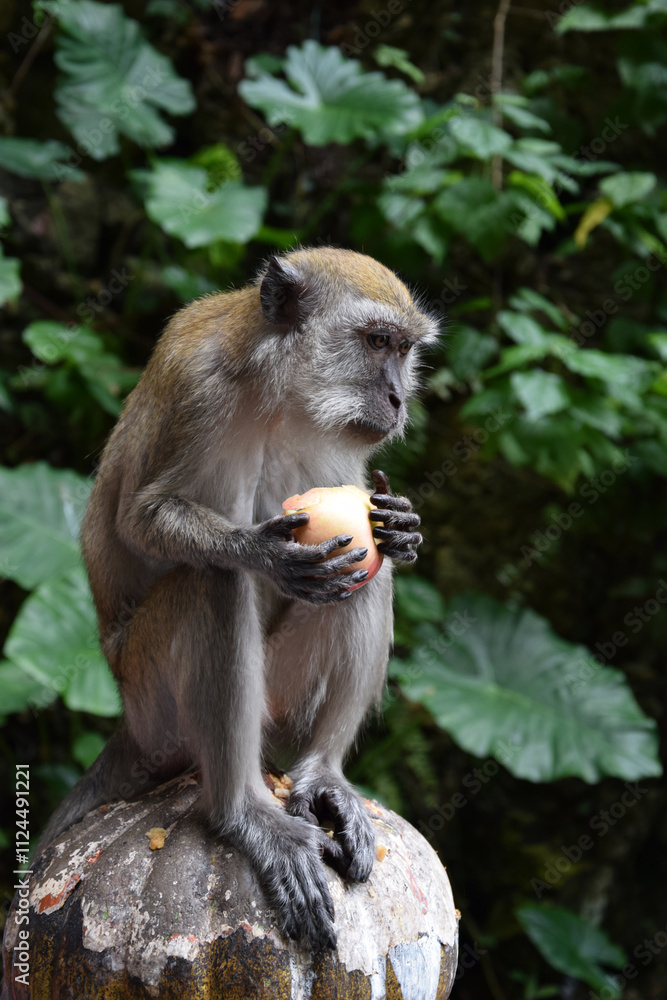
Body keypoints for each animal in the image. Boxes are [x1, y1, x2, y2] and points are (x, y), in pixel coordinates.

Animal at [36, 248, 439, 951]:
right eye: (375, 342)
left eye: (403, 349)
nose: (396, 398)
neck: (282, 393)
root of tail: (128, 723)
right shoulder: (200, 387)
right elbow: (141, 519)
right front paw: (262, 554)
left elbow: (372, 538)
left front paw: (403, 527)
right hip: (153, 701)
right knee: (212, 584)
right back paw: (243, 813)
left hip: (276, 699)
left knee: (368, 573)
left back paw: (323, 776)